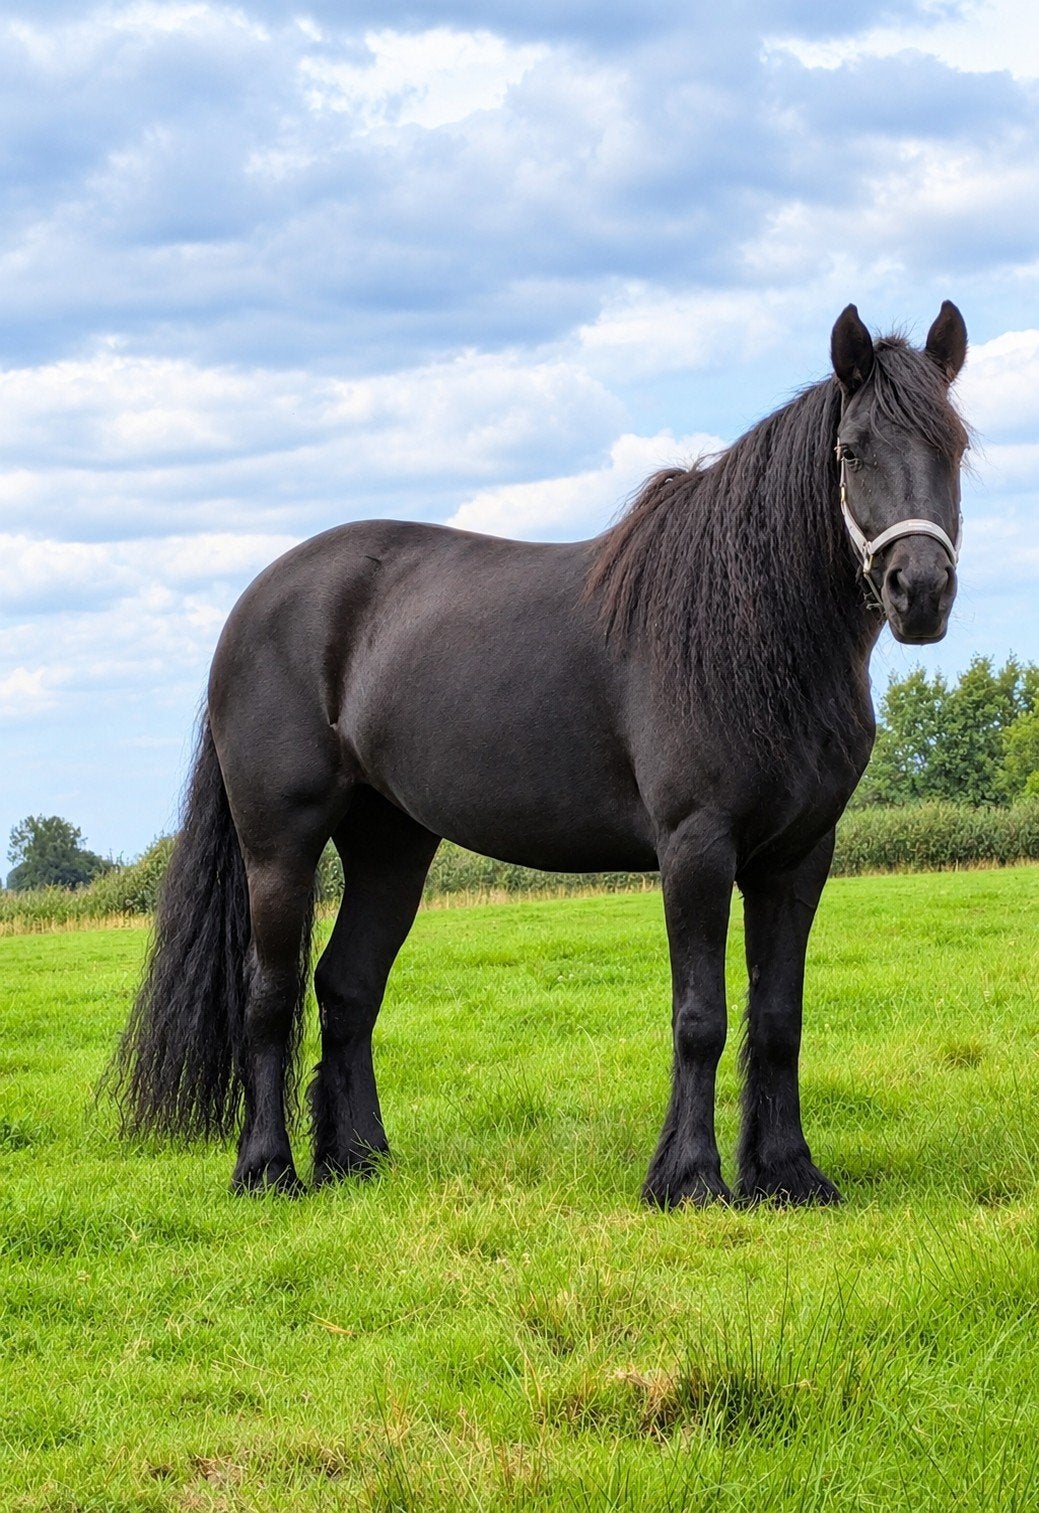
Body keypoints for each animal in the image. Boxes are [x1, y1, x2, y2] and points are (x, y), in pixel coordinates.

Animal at [111, 301, 969, 1206]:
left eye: (953, 446)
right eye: (851, 450)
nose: (919, 592)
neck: (747, 632)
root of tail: (255, 601)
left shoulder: (798, 855)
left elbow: (777, 1017)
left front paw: (786, 1174)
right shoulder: (695, 847)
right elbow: (699, 1016)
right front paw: (689, 1179)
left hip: (391, 844)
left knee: (347, 986)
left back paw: (357, 1158)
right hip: (280, 842)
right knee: (270, 995)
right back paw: (267, 1169)